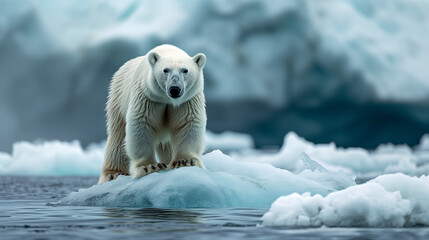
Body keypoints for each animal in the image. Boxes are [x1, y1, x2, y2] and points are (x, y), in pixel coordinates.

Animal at [100, 44, 207, 184]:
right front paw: (150, 167)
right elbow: (142, 125)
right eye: (165, 70)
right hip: (118, 98)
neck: (167, 99)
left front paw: (184, 161)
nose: (174, 89)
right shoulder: (148, 97)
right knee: (118, 136)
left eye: (185, 70)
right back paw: (113, 174)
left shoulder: (187, 100)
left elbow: (188, 123)